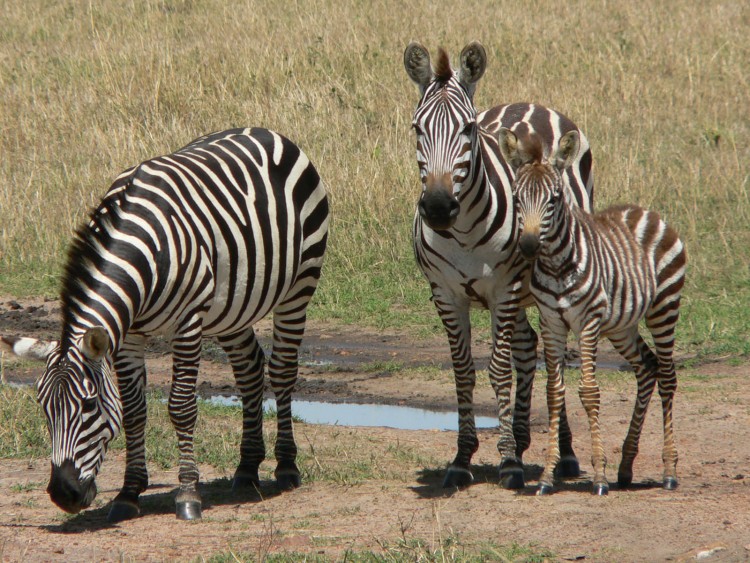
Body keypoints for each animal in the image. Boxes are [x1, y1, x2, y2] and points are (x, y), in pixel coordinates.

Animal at [0, 126, 328, 520]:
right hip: (231, 306)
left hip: (299, 284)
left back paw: (286, 467)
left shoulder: (187, 322)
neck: (142, 252)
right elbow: (133, 411)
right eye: (43, 406)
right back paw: (247, 469)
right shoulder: (129, 335)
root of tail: (265, 130)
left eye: (89, 405)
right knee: (250, 369)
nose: (64, 495)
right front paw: (128, 493)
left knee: (282, 370)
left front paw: (187, 495)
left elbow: (182, 407)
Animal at [402, 41, 596, 490]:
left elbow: (499, 371)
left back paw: (564, 454)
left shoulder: (503, 289)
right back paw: (523, 438)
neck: (462, 232)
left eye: (468, 129)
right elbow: (463, 372)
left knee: (552, 361)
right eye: (417, 129)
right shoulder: (445, 293)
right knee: (527, 347)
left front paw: (508, 462)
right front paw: (463, 457)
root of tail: (529, 103)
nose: (438, 207)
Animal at [502, 129, 692, 498]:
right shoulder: (551, 323)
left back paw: (669, 471)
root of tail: (644, 210)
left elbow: (589, 392)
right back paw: (627, 465)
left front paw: (599, 476)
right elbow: (554, 394)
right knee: (647, 368)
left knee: (667, 376)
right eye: (516, 199)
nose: (528, 246)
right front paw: (547, 477)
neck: (557, 265)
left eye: (554, 199)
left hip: (664, 306)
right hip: (622, 325)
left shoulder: (587, 321)